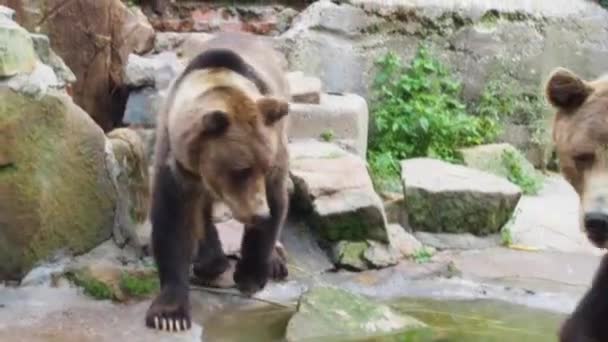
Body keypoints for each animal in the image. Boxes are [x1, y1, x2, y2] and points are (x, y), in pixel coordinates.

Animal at [146, 32, 290, 332]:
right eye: (241, 169)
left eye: (265, 167)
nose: (259, 213)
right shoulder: (175, 163)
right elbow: (173, 221)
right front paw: (169, 315)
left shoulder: (275, 154)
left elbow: (276, 201)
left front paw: (250, 275)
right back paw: (210, 262)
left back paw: (275, 262)